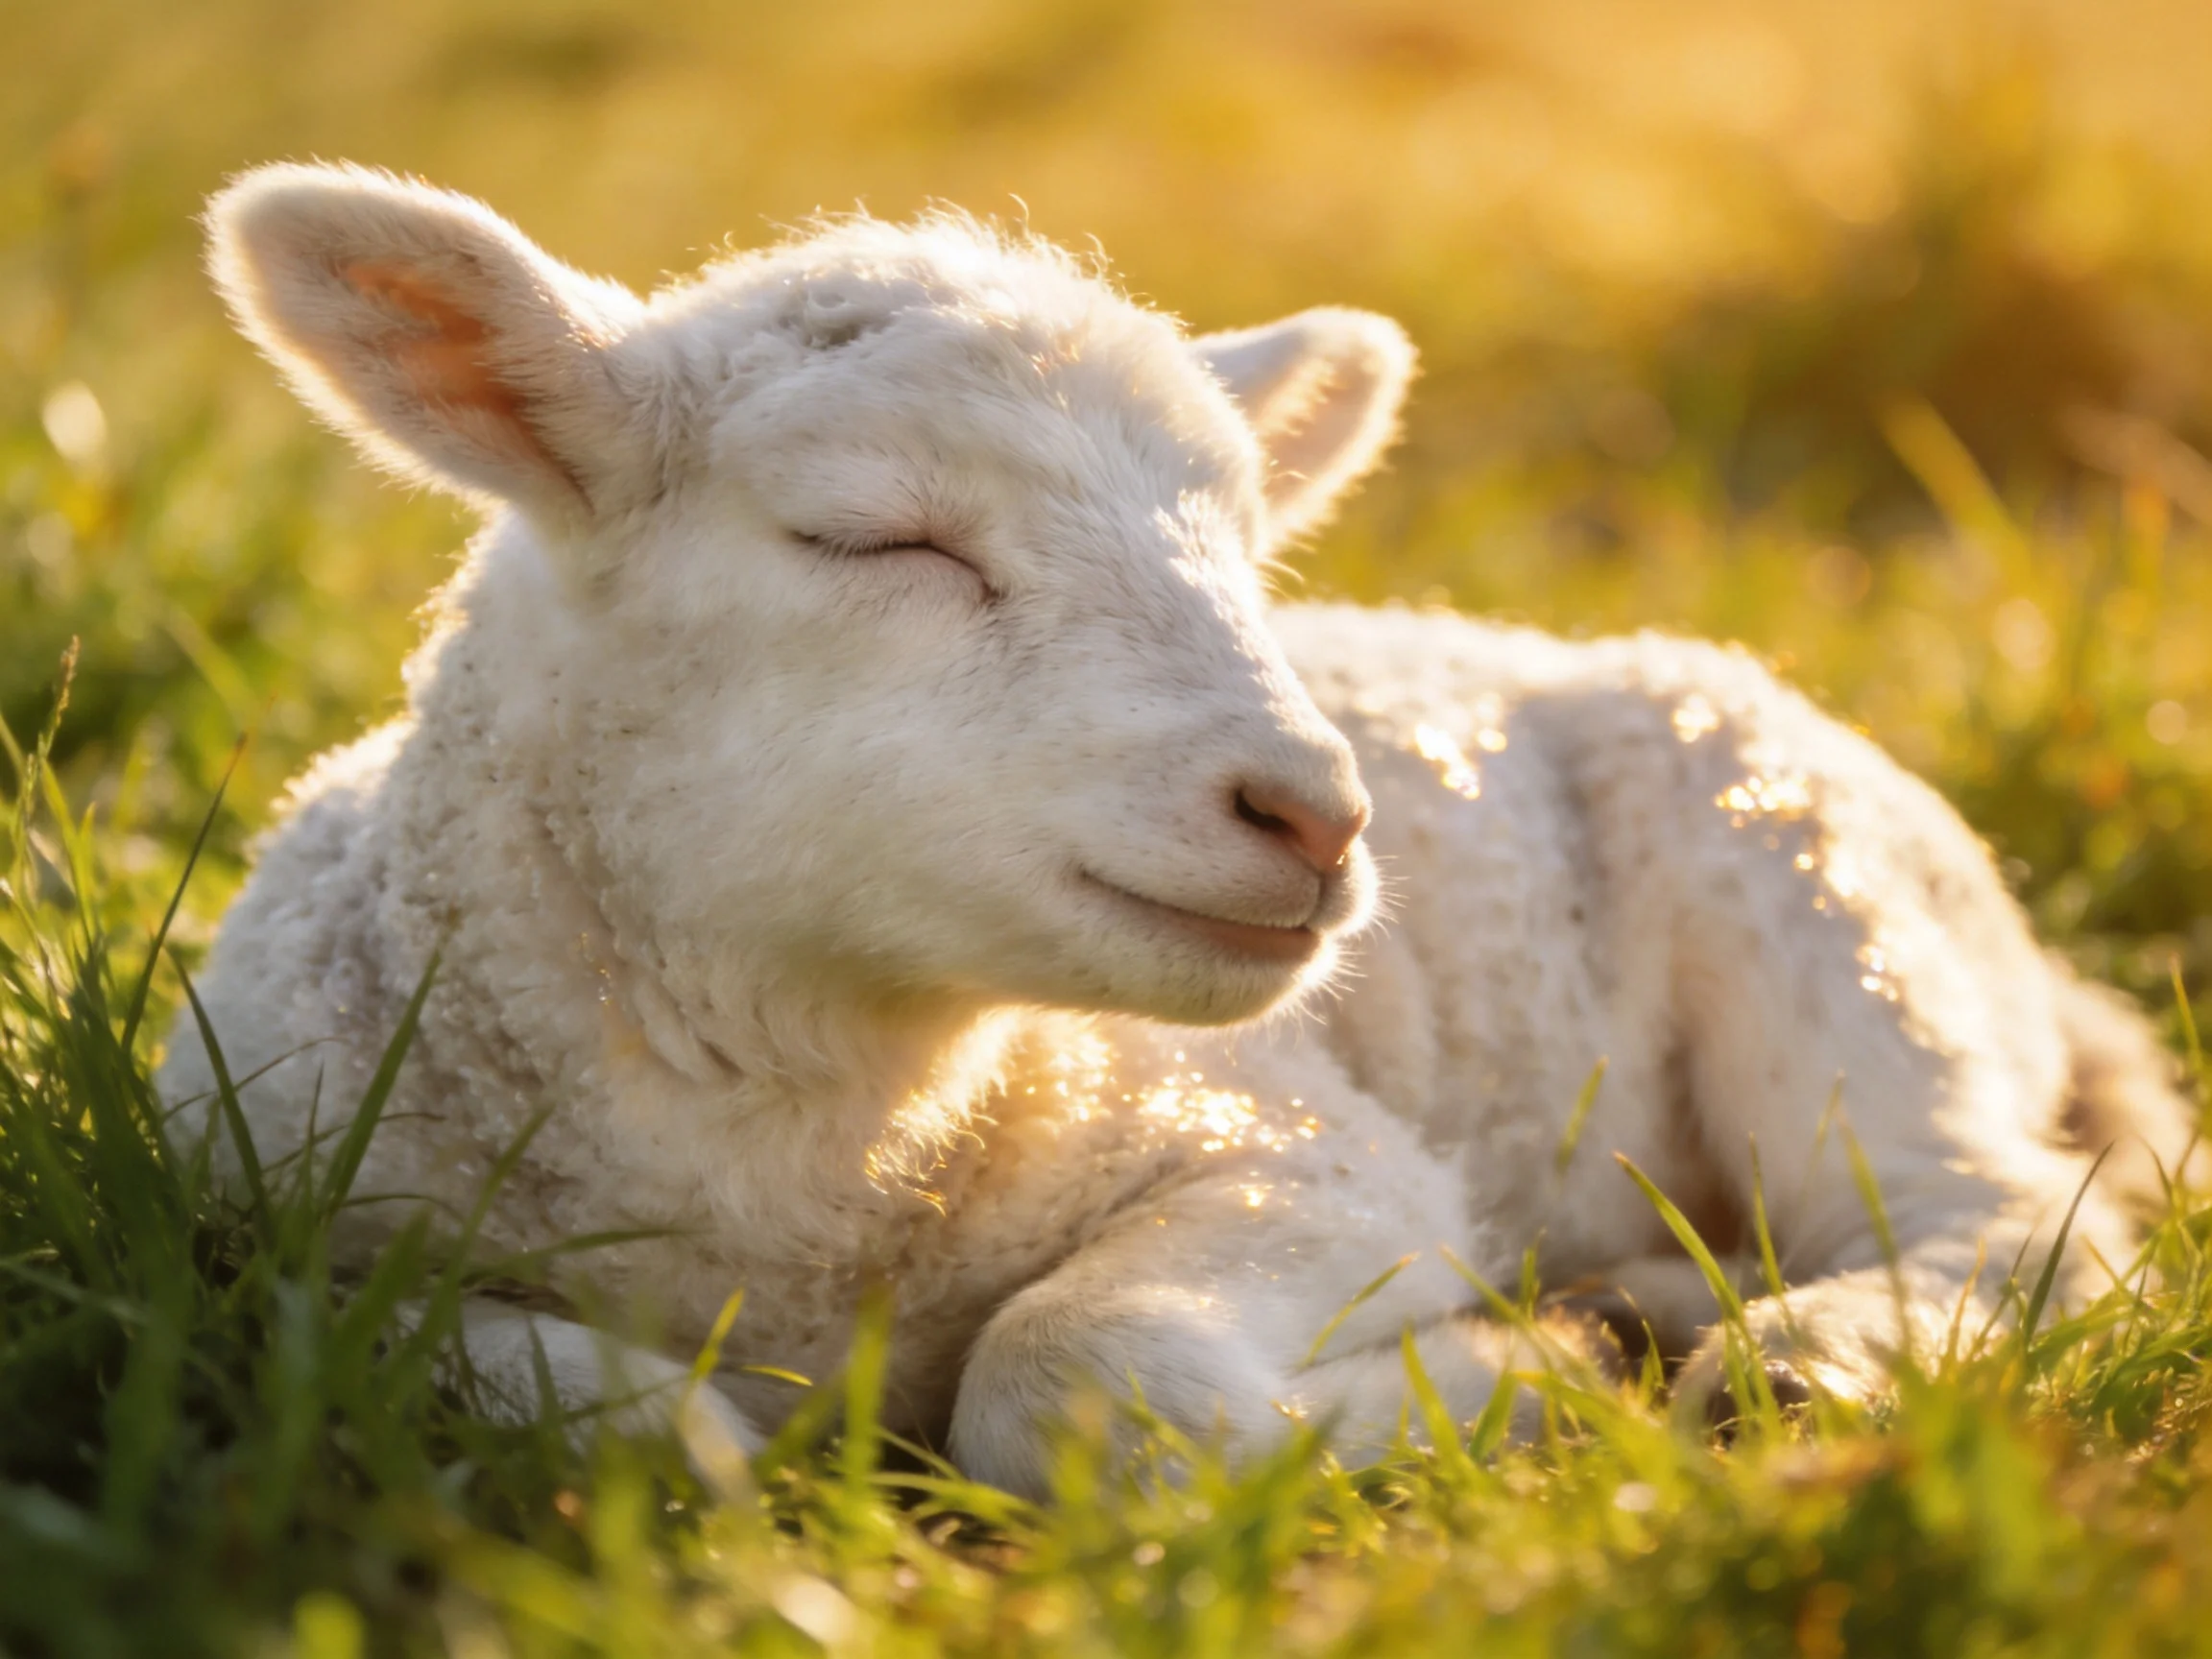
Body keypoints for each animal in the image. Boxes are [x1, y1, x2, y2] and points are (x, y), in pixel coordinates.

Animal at [161, 161, 2198, 1497]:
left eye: (1242, 537)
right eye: (871, 534)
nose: (1313, 812)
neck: (808, 1176)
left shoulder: (1317, 1153)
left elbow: (1076, 1375)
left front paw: (1512, 1375)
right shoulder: (268, 1227)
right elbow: (599, 1426)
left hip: (1818, 912)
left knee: (2012, 1211)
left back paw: (1778, 1344)